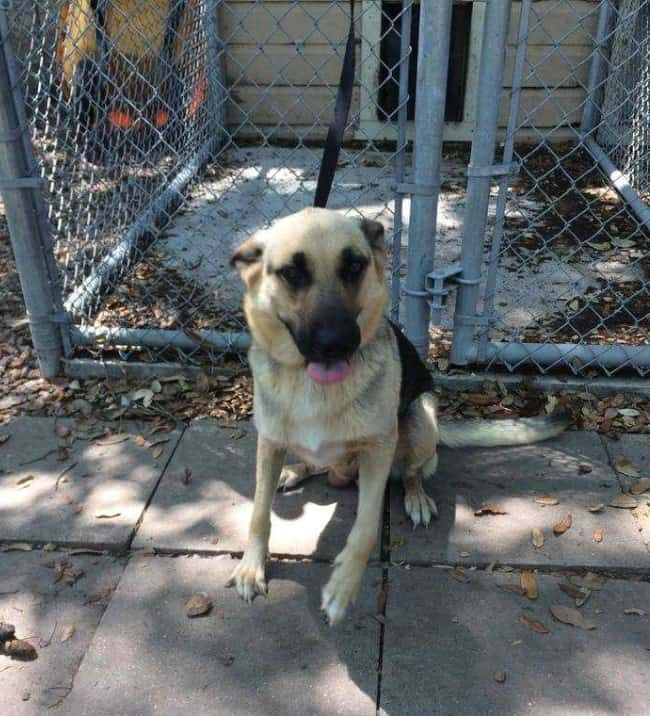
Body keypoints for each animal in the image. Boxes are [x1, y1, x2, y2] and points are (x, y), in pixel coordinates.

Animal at [225, 207, 564, 620]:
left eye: (354, 266)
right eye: (291, 272)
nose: (336, 343)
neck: (311, 384)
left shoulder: (379, 450)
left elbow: (366, 526)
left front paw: (343, 586)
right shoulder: (269, 442)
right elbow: (259, 512)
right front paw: (251, 566)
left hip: (420, 420)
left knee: (414, 471)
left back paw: (416, 497)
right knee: (312, 465)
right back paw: (294, 471)